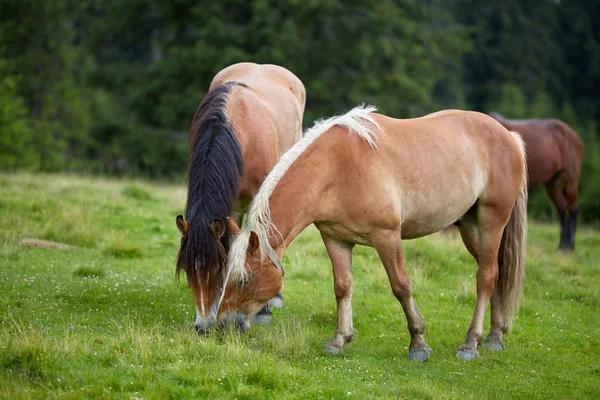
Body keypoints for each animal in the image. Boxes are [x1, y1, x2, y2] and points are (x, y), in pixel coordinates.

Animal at [216, 104, 524, 360]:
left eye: (245, 279)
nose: (219, 326)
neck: (336, 168)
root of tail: (509, 137)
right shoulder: (336, 239)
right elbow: (342, 287)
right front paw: (339, 340)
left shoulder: (386, 237)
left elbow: (401, 286)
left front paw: (419, 344)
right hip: (471, 228)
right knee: (496, 272)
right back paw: (494, 337)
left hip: (491, 222)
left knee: (486, 277)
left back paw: (471, 344)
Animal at [490, 112, 584, 250]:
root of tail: (574, 135)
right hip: (552, 183)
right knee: (562, 209)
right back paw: (562, 245)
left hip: (570, 179)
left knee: (573, 209)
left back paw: (569, 246)